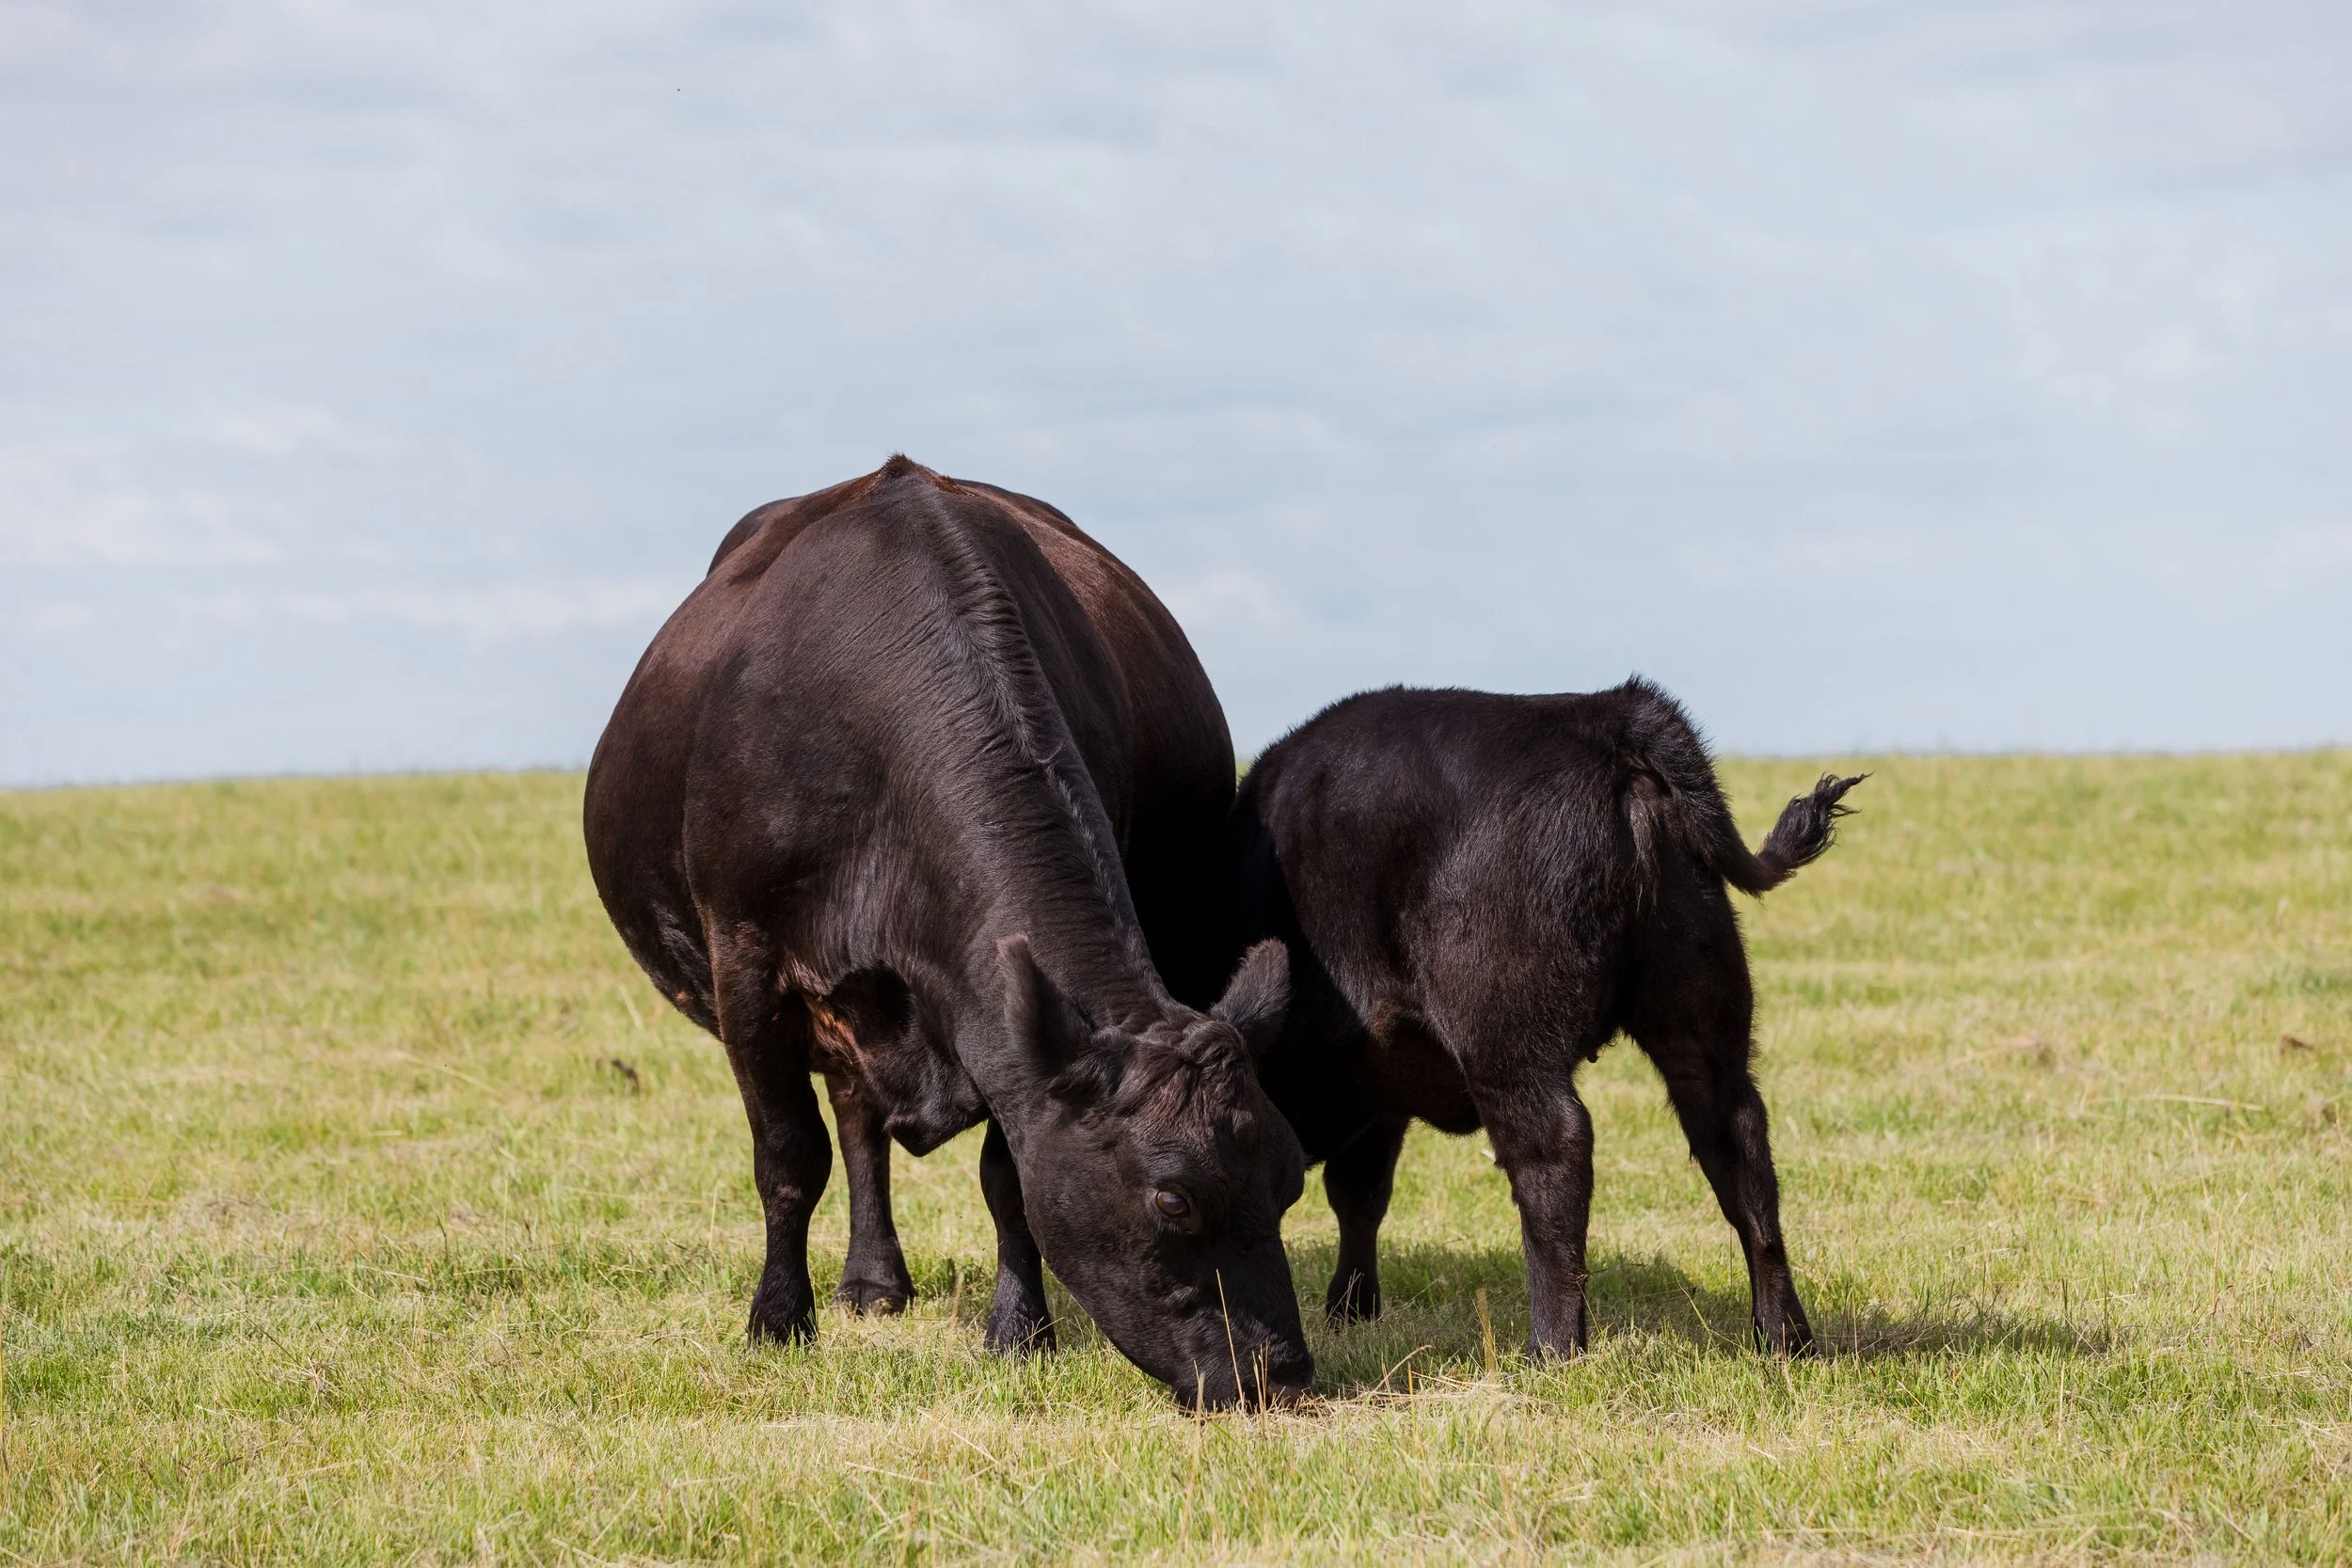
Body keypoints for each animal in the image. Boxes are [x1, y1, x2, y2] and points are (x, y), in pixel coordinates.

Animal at [584, 457, 1312, 1408]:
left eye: (1291, 1178)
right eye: (1172, 1199)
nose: (1283, 1371)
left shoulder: (1001, 1013)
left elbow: (1009, 1176)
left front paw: (1021, 1330)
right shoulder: (743, 957)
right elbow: (788, 1155)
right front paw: (778, 1320)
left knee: (859, 1112)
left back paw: (875, 1276)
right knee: (849, 1123)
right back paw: (867, 1283)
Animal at [1214, 677, 1861, 1360]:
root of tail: (1607, 712)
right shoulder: (1378, 1088)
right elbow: (1360, 1193)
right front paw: (1352, 1310)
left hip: (1505, 1039)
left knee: (1553, 1150)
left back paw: (1552, 1348)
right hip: (1700, 1018)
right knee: (1738, 1145)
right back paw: (1783, 1336)